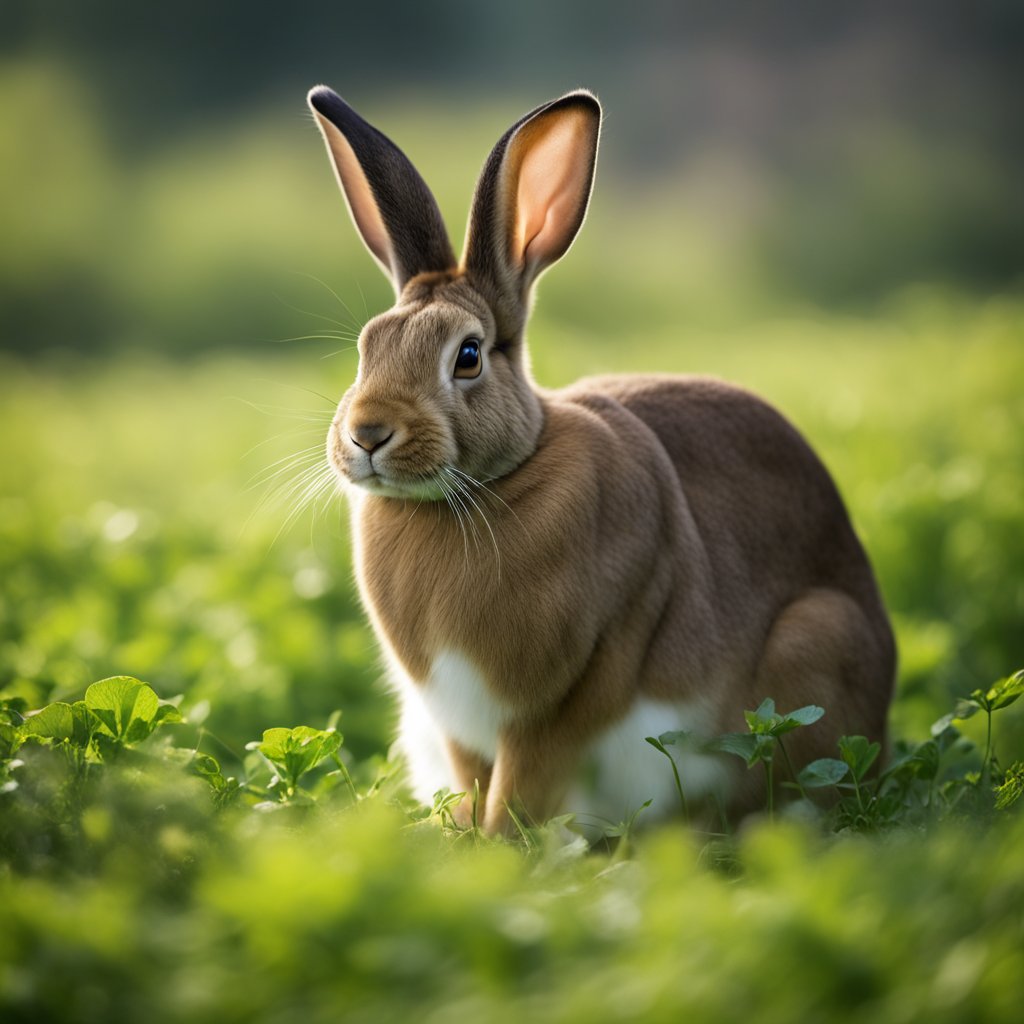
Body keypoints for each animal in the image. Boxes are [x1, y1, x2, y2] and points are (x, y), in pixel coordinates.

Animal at [303, 86, 897, 839]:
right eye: (367, 346)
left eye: (467, 355)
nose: (367, 434)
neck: (494, 482)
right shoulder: (457, 725)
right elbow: (476, 785)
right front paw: (463, 841)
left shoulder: (568, 697)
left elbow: (522, 788)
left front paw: (498, 849)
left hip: (817, 639)